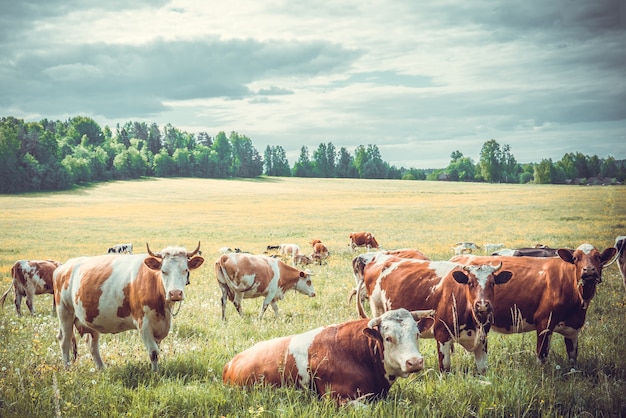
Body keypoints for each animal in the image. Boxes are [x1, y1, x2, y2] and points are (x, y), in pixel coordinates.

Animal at [54, 240, 204, 370]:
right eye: (163, 271)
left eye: (185, 270)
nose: (175, 293)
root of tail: (63, 267)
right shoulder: (143, 323)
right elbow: (153, 352)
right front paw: (155, 374)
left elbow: (157, 350)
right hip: (65, 312)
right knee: (64, 340)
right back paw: (67, 368)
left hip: (91, 317)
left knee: (92, 345)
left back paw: (102, 369)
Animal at [354, 256, 510, 374]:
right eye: (470, 283)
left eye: (492, 283)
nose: (482, 304)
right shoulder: (442, 334)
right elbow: (445, 368)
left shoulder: (482, 339)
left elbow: (483, 369)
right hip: (378, 311)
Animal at [448, 242, 616, 366]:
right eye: (575, 257)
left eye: (599, 257)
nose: (589, 271)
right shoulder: (544, 322)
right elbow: (541, 356)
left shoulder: (573, 329)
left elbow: (573, 358)